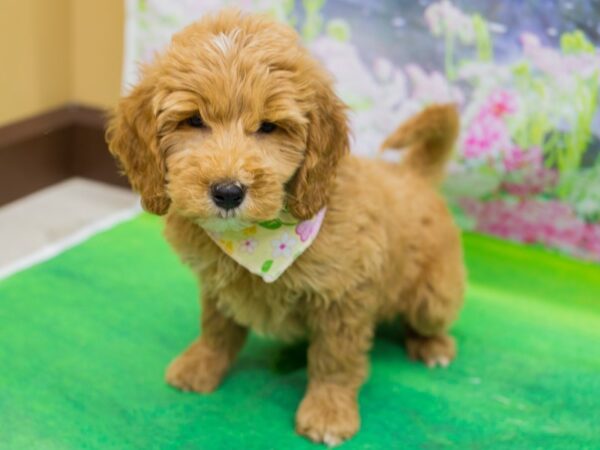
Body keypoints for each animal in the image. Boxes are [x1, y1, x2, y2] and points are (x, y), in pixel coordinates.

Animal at [106, 8, 464, 444]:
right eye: (192, 121)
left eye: (268, 127)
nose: (228, 192)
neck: (254, 240)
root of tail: (412, 174)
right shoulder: (217, 283)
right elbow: (216, 328)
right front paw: (201, 365)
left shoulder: (344, 296)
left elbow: (334, 358)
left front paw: (328, 411)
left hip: (434, 295)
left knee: (429, 317)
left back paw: (434, 347)